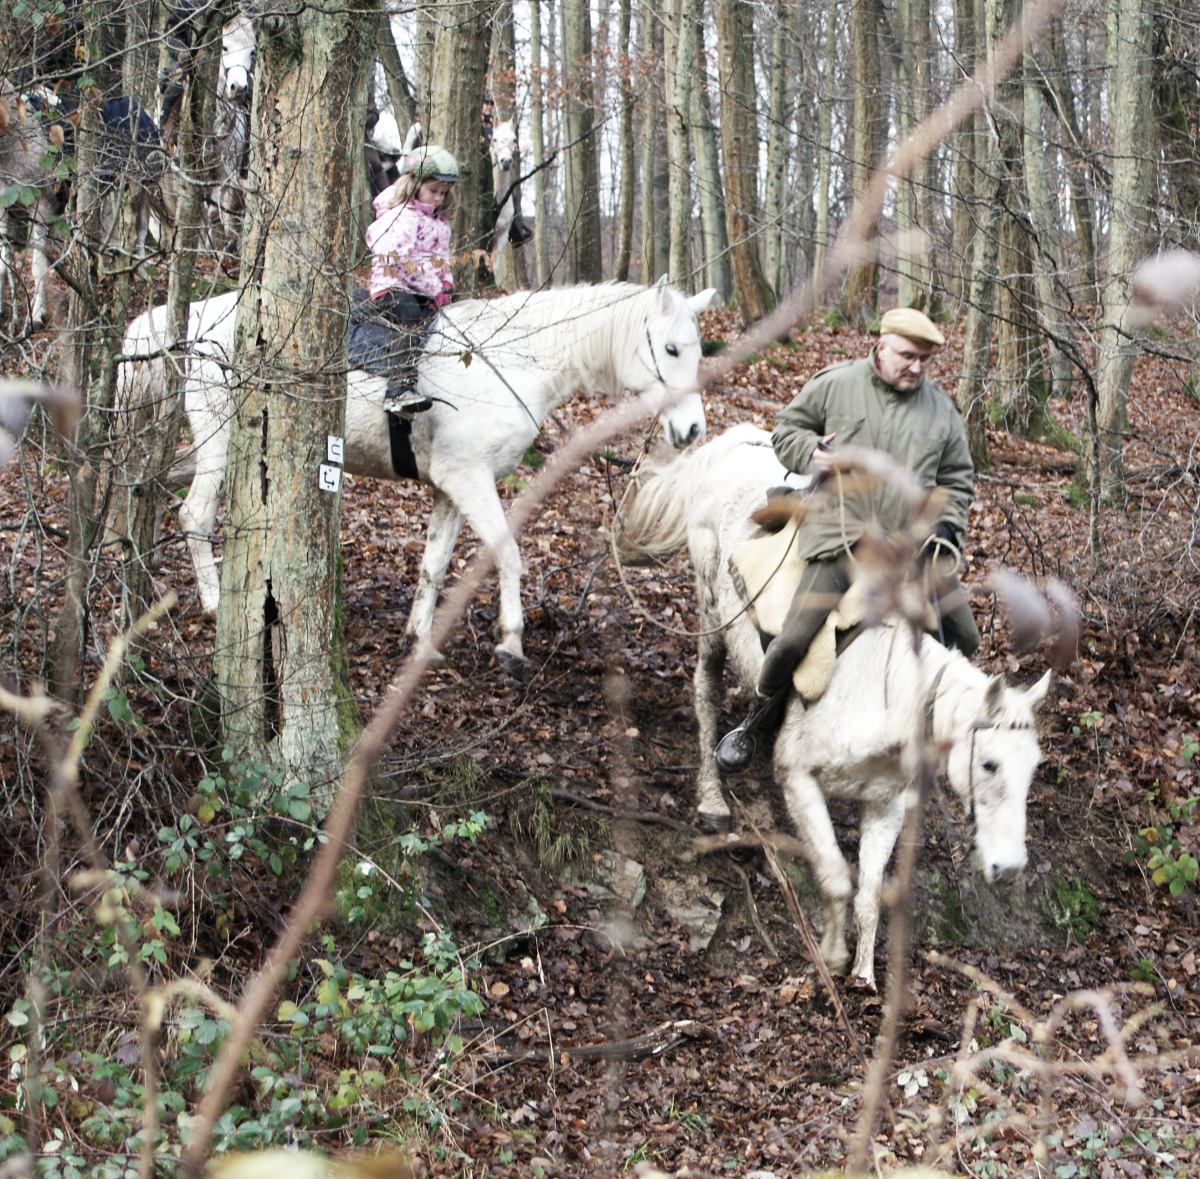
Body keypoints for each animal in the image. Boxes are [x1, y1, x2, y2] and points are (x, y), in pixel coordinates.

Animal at [115, 274, 710, 662]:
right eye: (670, 349)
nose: (693, 431)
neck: (514, 361)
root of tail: (196, 317)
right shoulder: (470, 480)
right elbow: (508, 553)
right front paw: (511, 641)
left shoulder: (450, 487)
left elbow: (434, 564)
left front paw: (419, 638)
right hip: (220, 440)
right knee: (193, 514)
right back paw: (214, 603)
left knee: (144, 481)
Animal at [619, 425, 1051, 989]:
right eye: (990, 764)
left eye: (1033, 768)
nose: (1010, 868)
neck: (883, 692)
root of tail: (730, 442)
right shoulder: (800, 779)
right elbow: (836, 877)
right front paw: (831, 955)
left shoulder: (885, 806)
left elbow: (869, 894)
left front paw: (865, 975)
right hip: (710, 612)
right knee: (707, 693)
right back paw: (713, 794)